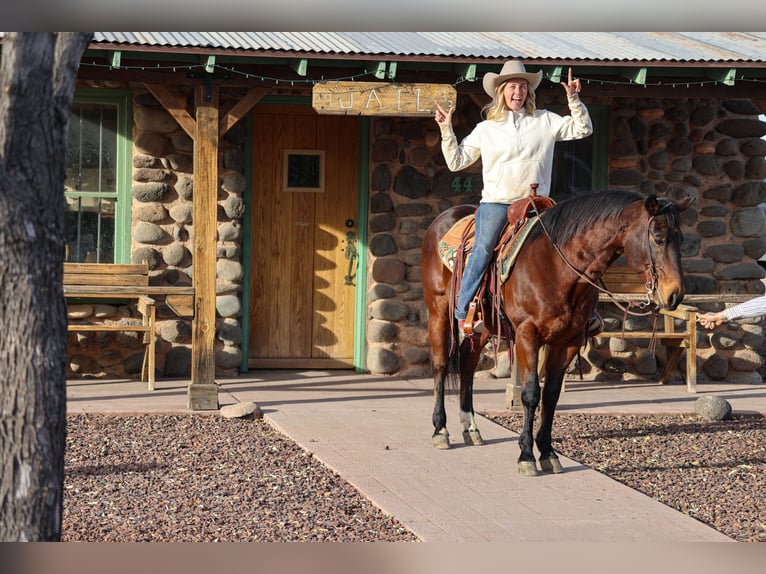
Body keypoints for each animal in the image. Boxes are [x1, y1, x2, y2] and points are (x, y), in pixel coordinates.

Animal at [424, 189, 692, 476]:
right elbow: (531, 394)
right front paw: (526, 455)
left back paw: (471, 428)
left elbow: (551, 395)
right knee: (441, 364)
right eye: (658, 237)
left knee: (467, 363)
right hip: (438, 311)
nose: (674, 294)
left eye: (681, 238)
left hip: (482, 327)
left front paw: (548, 453)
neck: (557, 267)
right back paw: (440, 430)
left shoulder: (568, 341)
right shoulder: (527, 335)